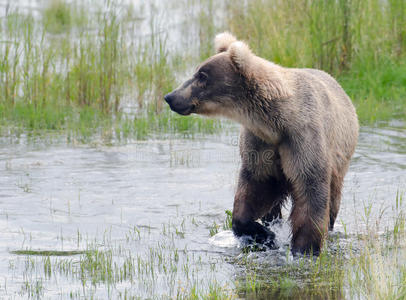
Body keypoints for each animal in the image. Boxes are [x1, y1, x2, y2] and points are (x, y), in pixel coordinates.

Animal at [163, 31, 356, 254]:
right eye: (197, 71)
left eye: (202, 76)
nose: (171, 97)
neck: (276, 123)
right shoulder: (261, 144)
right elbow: (255, 185)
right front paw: (264, 235)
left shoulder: (303, 139)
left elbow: (311, 187)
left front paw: (304, 249)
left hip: (340, 160)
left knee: (333, 198)